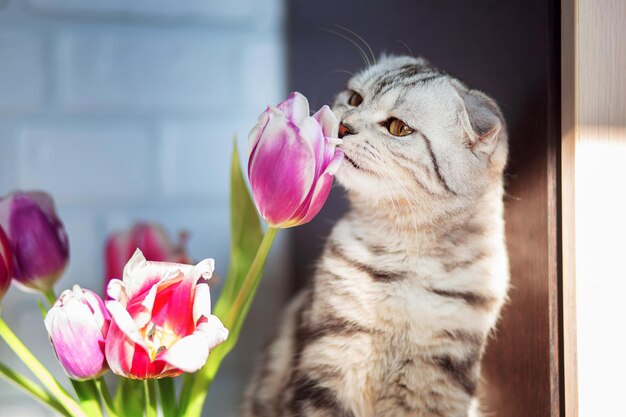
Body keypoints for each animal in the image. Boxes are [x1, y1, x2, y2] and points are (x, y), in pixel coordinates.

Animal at [239, 55, 508, 416]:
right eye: (354, 99)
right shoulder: (331, 359)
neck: (405, 264)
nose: (342, 126)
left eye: (398, 127)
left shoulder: (439, 379)